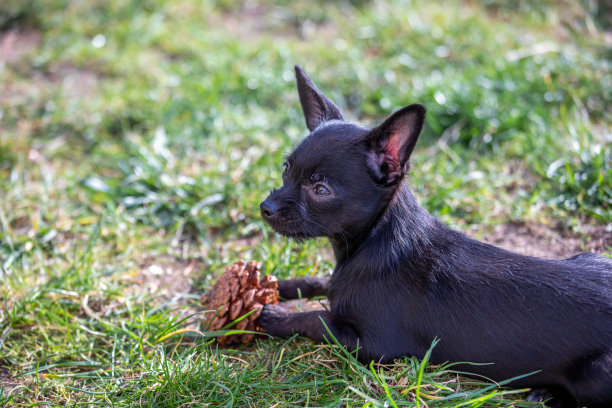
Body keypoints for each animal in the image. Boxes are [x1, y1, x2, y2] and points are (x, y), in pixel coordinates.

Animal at [258, 65, 612, 406]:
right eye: (286, 170)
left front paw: (273, 315)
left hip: (597, 372)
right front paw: (275, 284)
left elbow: (316, 319)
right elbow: (317, 282)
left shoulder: (372, 346)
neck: (374, 240)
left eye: (320, 190)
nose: (265, 207)